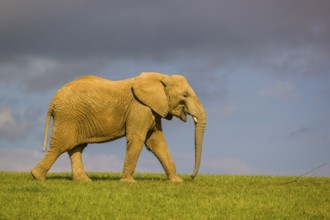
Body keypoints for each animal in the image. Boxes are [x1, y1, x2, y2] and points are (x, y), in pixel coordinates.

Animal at [31, 72, 206, 182]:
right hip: (68, 116)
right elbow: (138, 139)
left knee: (76, 148)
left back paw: (84, 181)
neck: (162, 77)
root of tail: (53, 101)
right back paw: (37, 177)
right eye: (185, 95)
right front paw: (128, 182)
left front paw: (177, 181)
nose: (191, 177)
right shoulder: (140, 107)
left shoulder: (152, 109)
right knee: (60, 146)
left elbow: (157, 142)